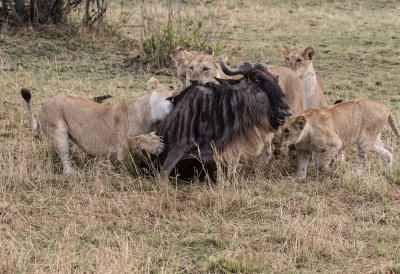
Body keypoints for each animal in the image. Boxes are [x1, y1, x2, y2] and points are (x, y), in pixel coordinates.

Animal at [21, 77, 178, 173]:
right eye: (171, 86)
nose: (180, 90)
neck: (150, 116)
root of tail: (41, 106)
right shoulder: (121, 148)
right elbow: (135, 140)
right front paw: (155, 143)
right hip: (58, 130)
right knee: (65, 159)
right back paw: (73, 173)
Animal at [272, 99, 400, 181]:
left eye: (286, 131)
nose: (274, 142)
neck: (305, 136)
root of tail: (385, 107)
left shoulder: (335, 143)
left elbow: (321, 163)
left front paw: (328, 171)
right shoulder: (304, 150)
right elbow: (302, 165)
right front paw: (299, 178)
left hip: (364, 139)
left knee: (364, 161)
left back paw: (353, 173)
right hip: (373, 140)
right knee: (388, 150)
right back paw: (387, 169)